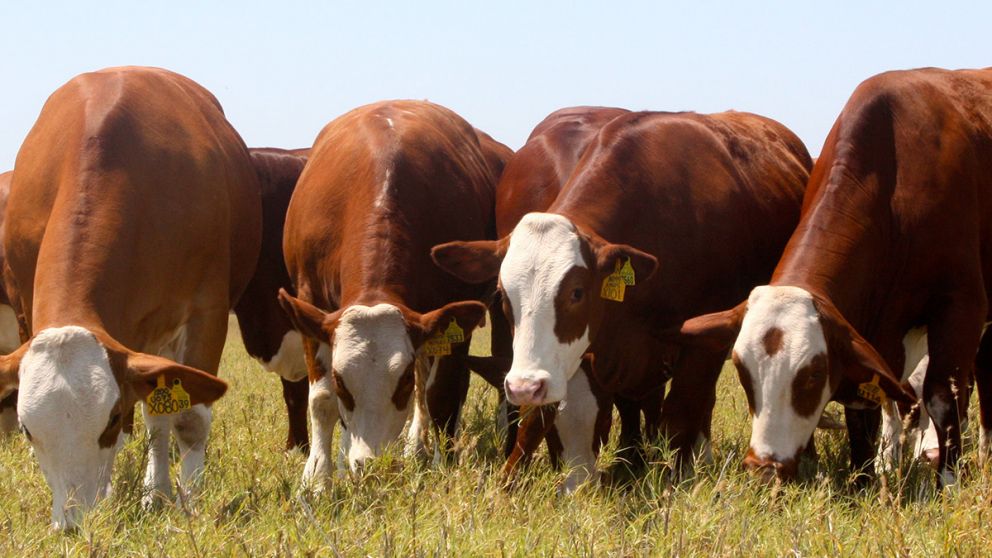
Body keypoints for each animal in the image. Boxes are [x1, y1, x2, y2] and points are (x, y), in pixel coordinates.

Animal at [0, 66, 257, 529]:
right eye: (28, 430)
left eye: (111, 419)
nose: (72, 525)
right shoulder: (25, 310)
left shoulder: (206, 311)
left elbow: (188, 418)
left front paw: (190, 503)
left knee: (161, 416)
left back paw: (158, 492)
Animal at [278, 100, 507, 485]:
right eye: (342, 383)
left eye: (399, 384)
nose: (371, 465)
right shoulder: (309, 302)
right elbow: (321, 400)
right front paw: (318, 479)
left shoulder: (448, 313)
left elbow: (438, 394)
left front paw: (437, 466)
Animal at [433, 109, 811, 478]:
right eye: (504, 294)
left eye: (577, 292)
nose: (525, 385)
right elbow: (552, 414)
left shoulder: (700, 344)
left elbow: (682, 411)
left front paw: (674, 477)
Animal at [677, 67, 992, 487]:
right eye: (743, 370)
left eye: (812, 375)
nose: (764, 467)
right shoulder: (866, 330)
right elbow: (866, 407)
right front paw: (866, 477)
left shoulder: (962, 306)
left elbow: (944, 396)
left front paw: (948, 480)